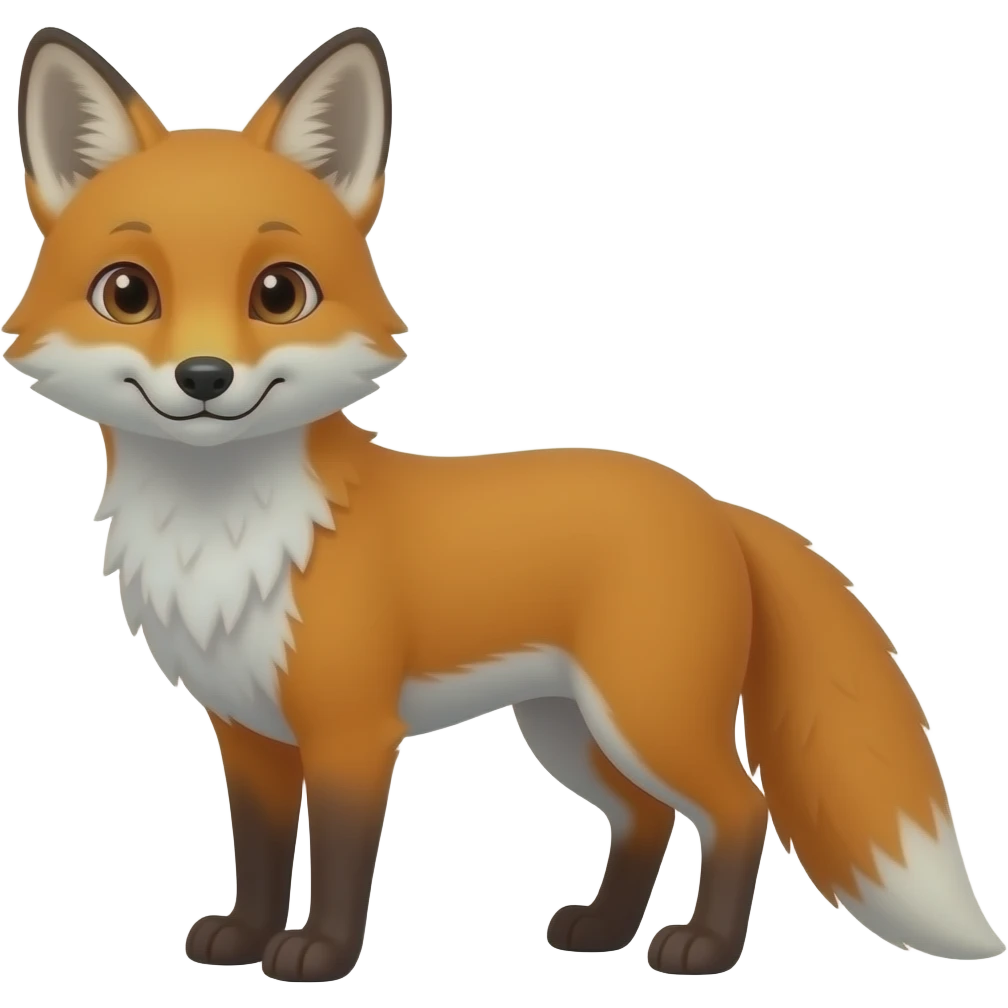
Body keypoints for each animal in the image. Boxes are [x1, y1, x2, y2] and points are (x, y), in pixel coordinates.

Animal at [4, 26, 1003, 983]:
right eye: (128, 292)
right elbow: (256, 854)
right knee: (647, 818)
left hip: (646, 718)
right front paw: (245, 938)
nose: (204, 377)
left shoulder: (352, 733)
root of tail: (713, 501)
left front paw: (319, 956)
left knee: (739, 807)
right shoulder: (247, 732)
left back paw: (705, 950)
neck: (227, 534)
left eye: (279, 292)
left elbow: (338, 863)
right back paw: (603, 930)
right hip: (570, 730)